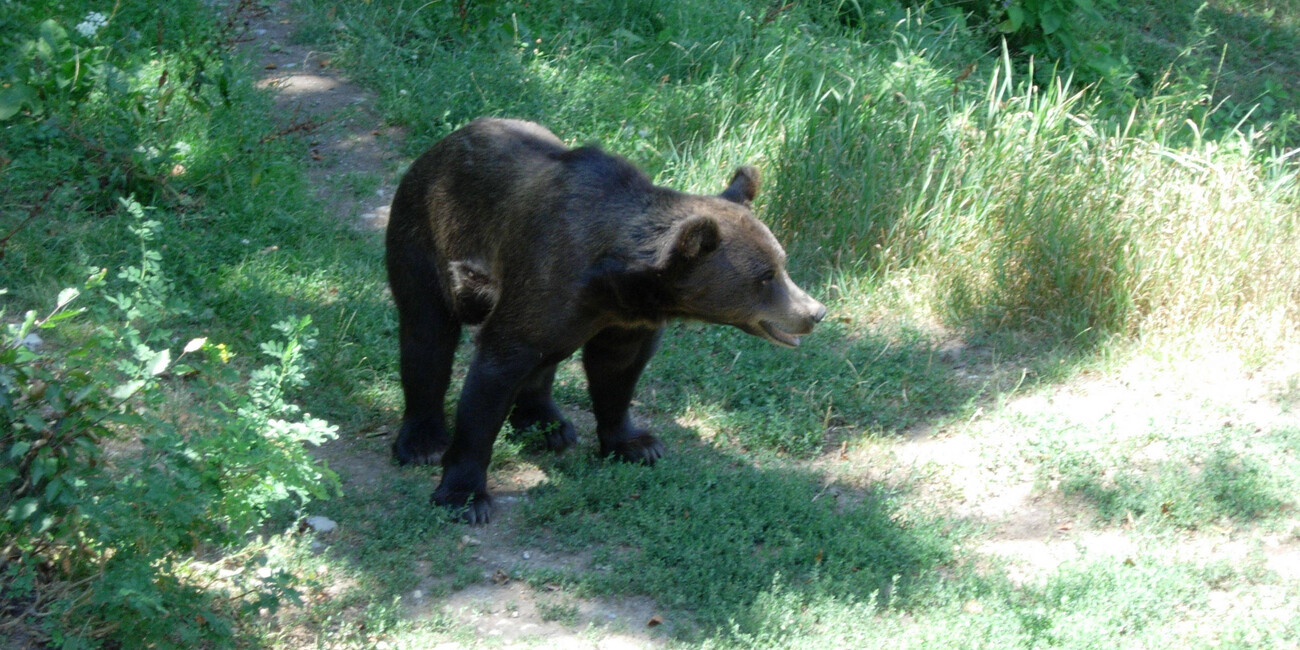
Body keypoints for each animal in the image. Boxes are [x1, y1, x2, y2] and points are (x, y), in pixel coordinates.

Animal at [384, 118, 826, 522]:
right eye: (766, 277)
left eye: (782, 263)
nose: (813, 312)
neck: (616, 281)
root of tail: (441, 145)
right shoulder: (547, 277)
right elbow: (496, 372)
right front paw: (465, 495)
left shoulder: (623, 318)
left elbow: (617, 371)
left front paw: (637, 444)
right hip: (426, 238)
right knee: (427, 335)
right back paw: (422, 440)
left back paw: (547, 423)